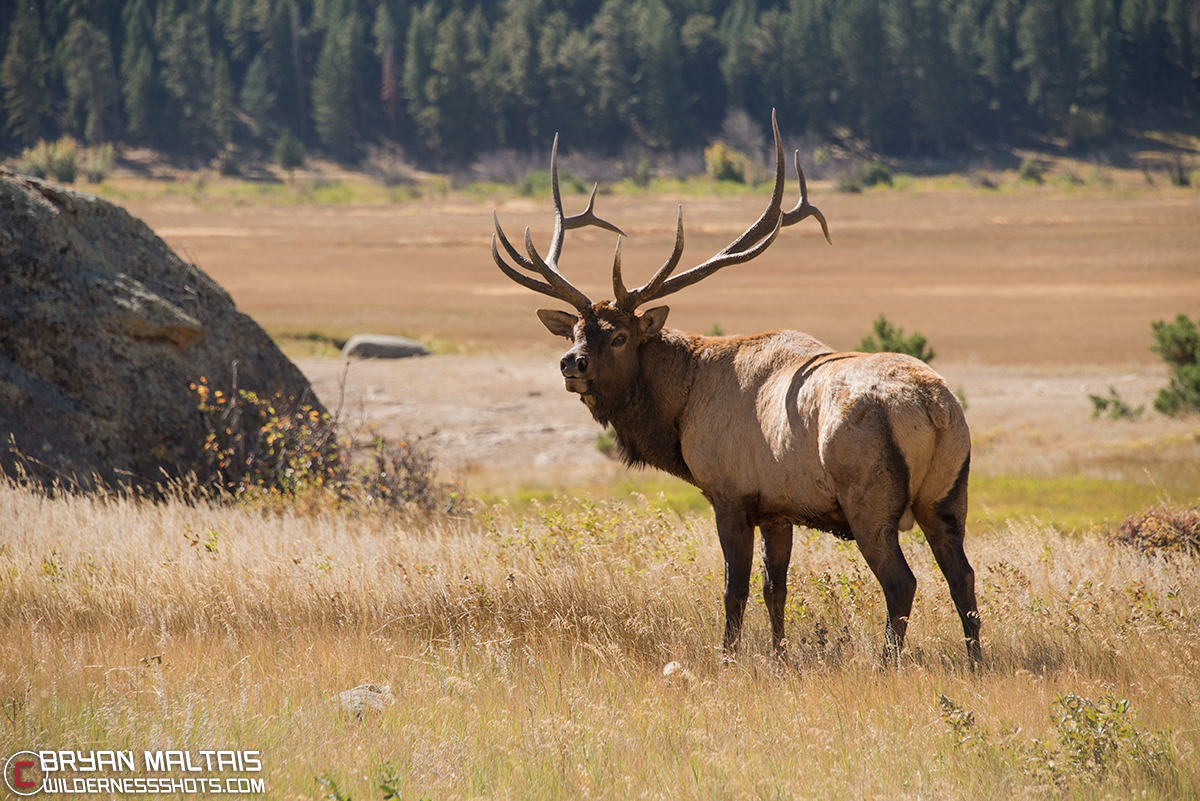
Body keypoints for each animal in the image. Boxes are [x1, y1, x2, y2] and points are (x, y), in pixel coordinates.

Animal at [492, 110, 979, 661]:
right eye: (574, 331)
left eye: (619, 336)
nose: (570, 363)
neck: (681, 410)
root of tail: (933, 407)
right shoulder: (778, 507)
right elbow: (775, 587)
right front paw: (780, 655)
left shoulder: (730, 493)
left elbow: (734, 587)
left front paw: (727, 656)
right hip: (947, 494)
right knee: (962, 575)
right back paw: (976, 660)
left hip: (869, 497)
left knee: (902, 582)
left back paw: (886, 662)